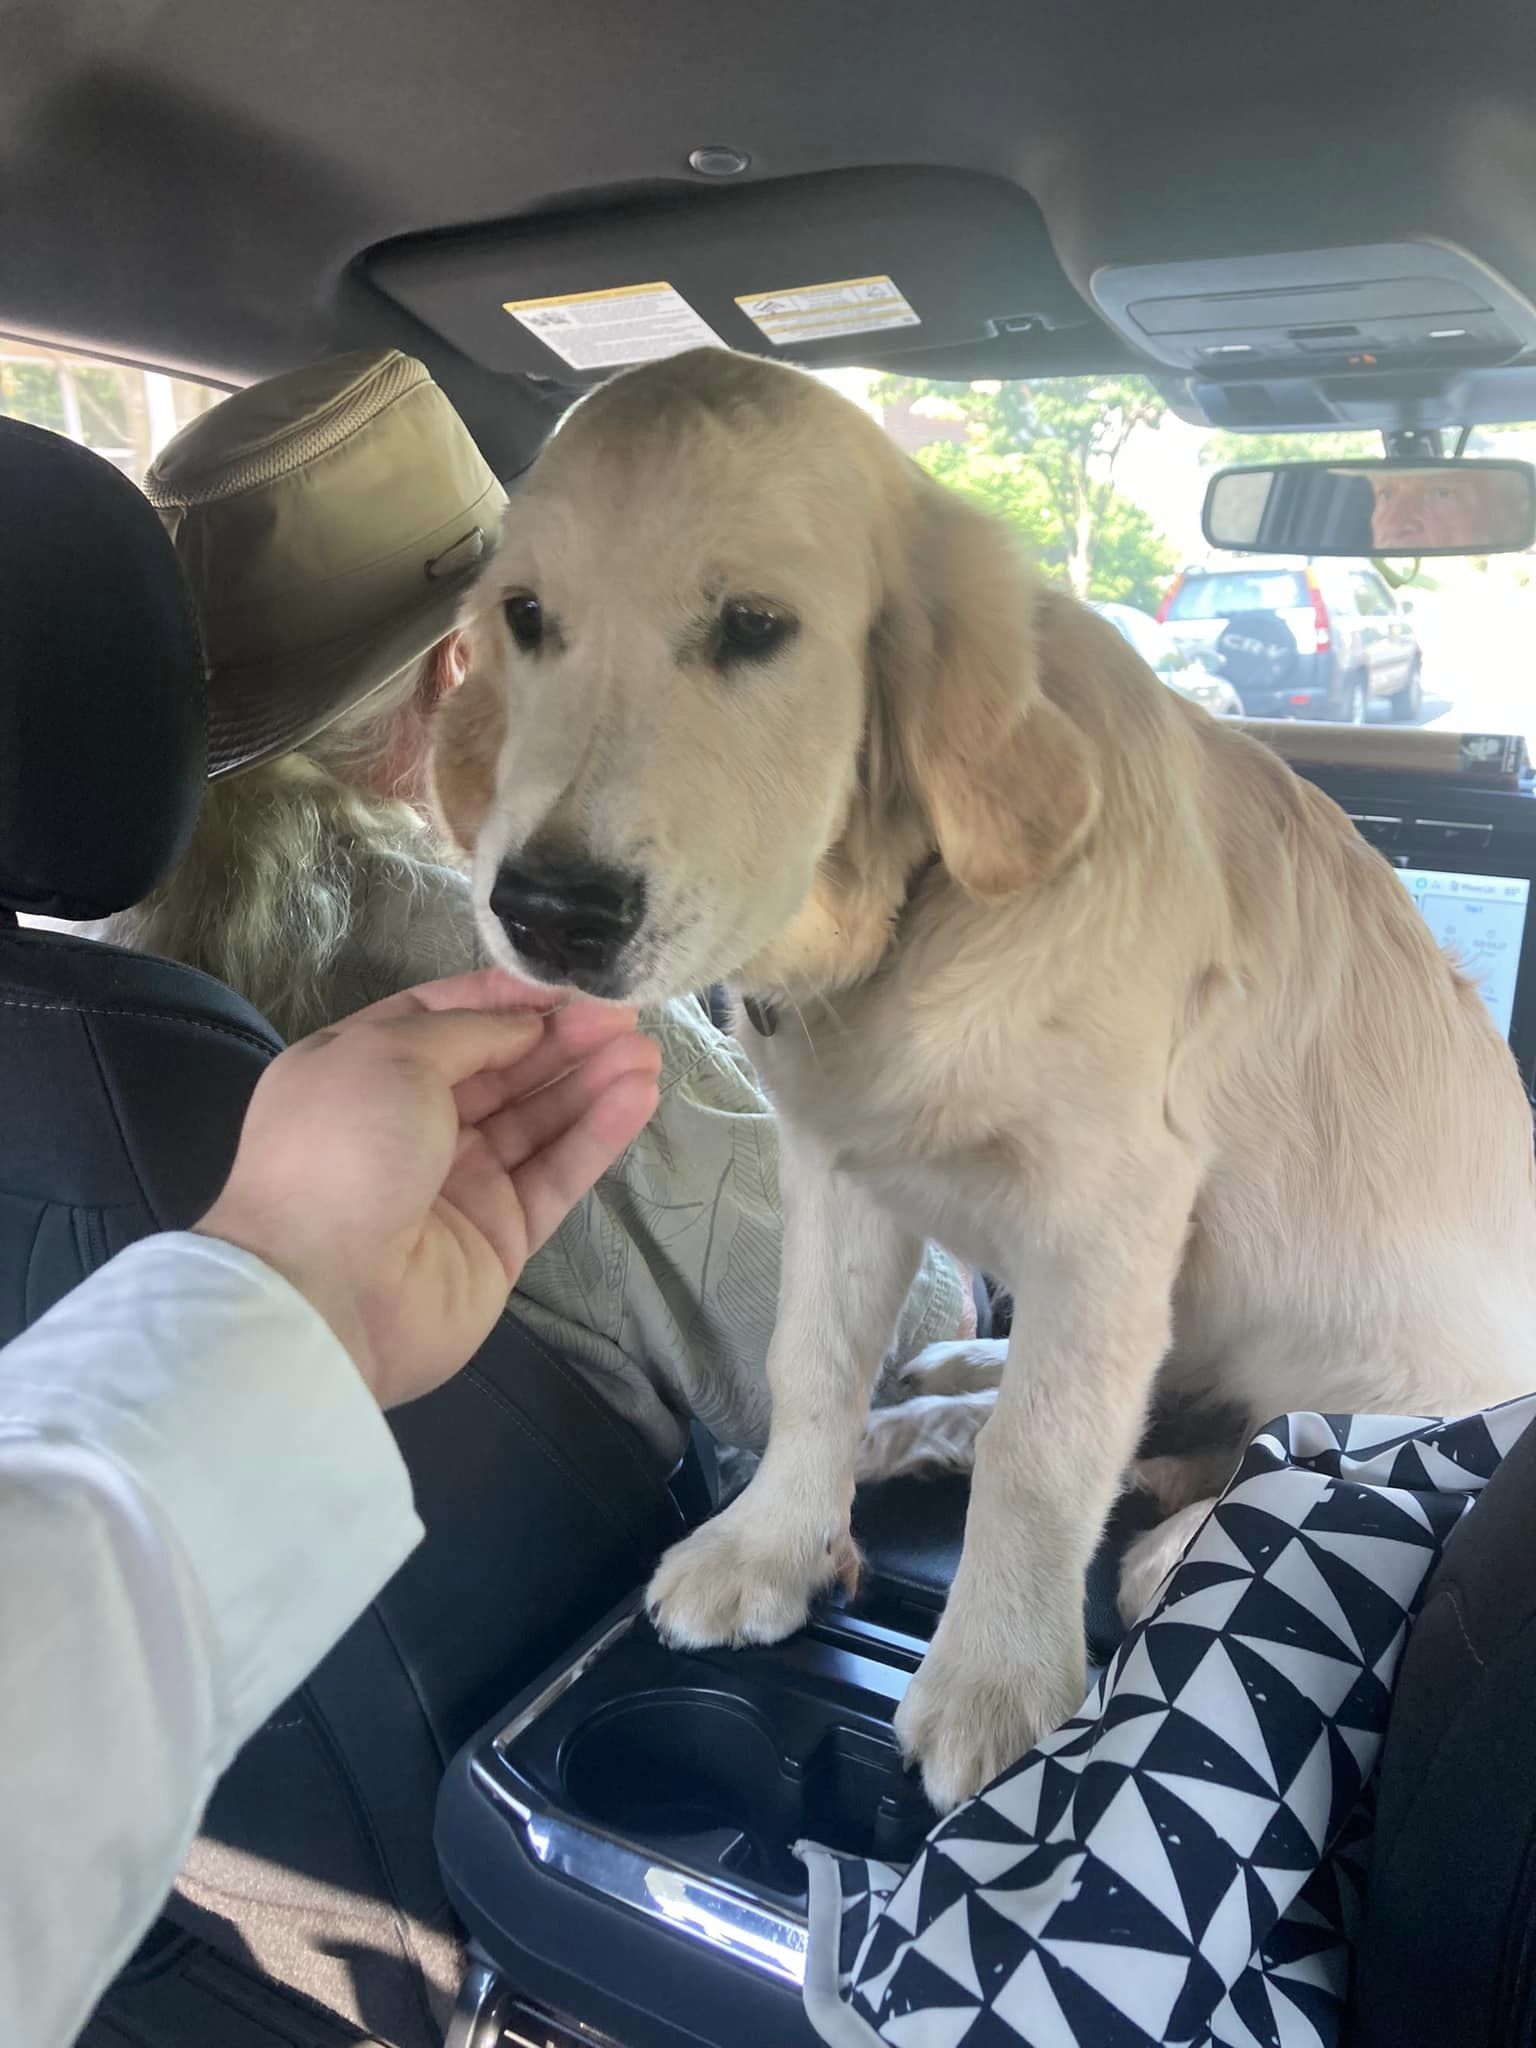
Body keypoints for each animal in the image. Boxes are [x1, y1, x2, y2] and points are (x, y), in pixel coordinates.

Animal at [428, 348, 1536, 1810]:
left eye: (754, 627)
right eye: (526, 616)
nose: (550, 913)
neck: (908, 921)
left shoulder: (1110, 1216)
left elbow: (1045, 1452)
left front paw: (998, 1671)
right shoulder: (843, 1172)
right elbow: (815, 1361)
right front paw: (776, 1539)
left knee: (1263, 1459)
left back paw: (1168, 1544)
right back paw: (925, 1411)